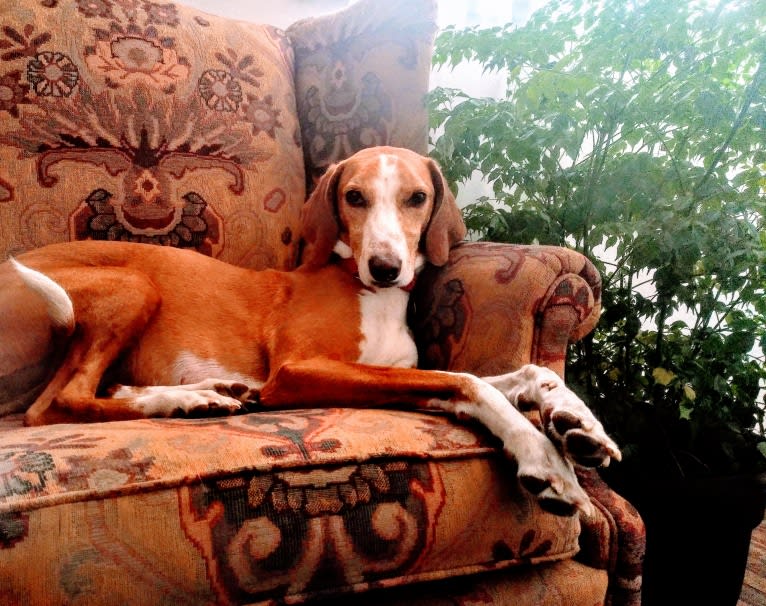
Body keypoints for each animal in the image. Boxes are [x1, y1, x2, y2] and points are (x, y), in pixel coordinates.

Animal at [0, 147, 620, 516]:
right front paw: (544, 458)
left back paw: (203, 394)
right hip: (131, 285)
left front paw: (576, 424)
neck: (372, 295)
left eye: (417, 198)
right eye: (354, 197)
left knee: (96, 391)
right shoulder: (300, 369)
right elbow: (469, 380)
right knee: (58, 404)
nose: (386, 267)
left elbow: (517, 373)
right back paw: (185, 400)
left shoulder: (396, 376)